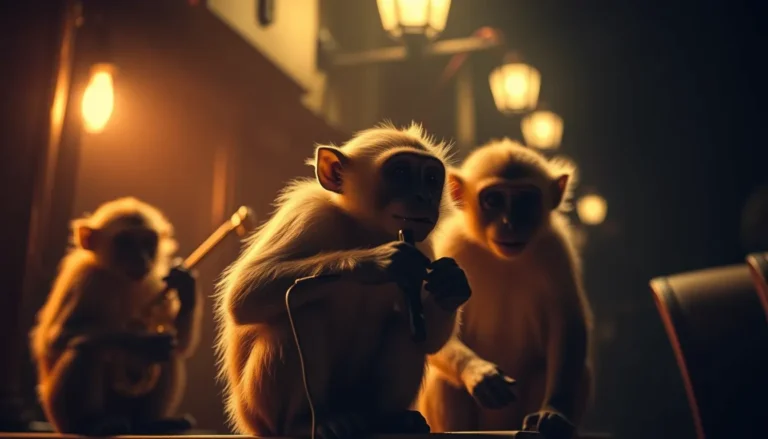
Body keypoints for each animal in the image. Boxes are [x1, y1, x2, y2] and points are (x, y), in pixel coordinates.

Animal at [30, 197, 203, 435]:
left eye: (147, 242)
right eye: (125, 242)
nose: (141, 258)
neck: (120, 278)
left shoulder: (155, 282)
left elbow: (181, 345)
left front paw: (185, 286)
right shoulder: (83, 277)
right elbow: (55, 341)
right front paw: (140, 343)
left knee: (170, 354)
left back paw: (150, 423)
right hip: (57, 412)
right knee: (85, 348)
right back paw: (93, 423)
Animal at [214, 123, 472, 439]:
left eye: (432, 179)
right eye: (400, 173)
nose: (424, 197)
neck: (365, 230)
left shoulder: (424, 247)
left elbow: (430, 339)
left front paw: (451, 284)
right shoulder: (309, 214)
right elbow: (242, 294)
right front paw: (375, 261)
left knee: (402, 328)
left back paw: (388, 418)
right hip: (256, 412)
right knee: (300, 311)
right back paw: (304, 423)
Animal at [416, 139, 593, 438]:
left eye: (525, 200)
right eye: (493, 200)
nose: (510, 224)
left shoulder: (555, 247)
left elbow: (568, 325)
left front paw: (553, 413)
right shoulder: (452, 244)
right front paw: (479, 373)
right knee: (446, 380)